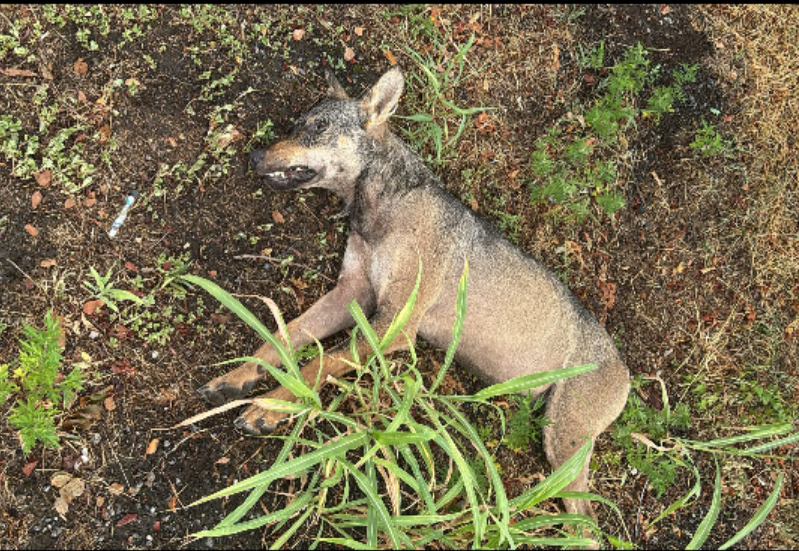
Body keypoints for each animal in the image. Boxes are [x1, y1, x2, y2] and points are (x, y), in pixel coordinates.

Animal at [197, 67, 630, 519]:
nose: (254, 156)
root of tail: (625, 371)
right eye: (297, 124)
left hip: (563, 446)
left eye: (318, 126)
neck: (381, 209)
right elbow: (282, 337)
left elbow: (320, 363)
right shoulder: (351, 295)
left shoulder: (391, 325)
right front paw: (236, 378)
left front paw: (270, 407)